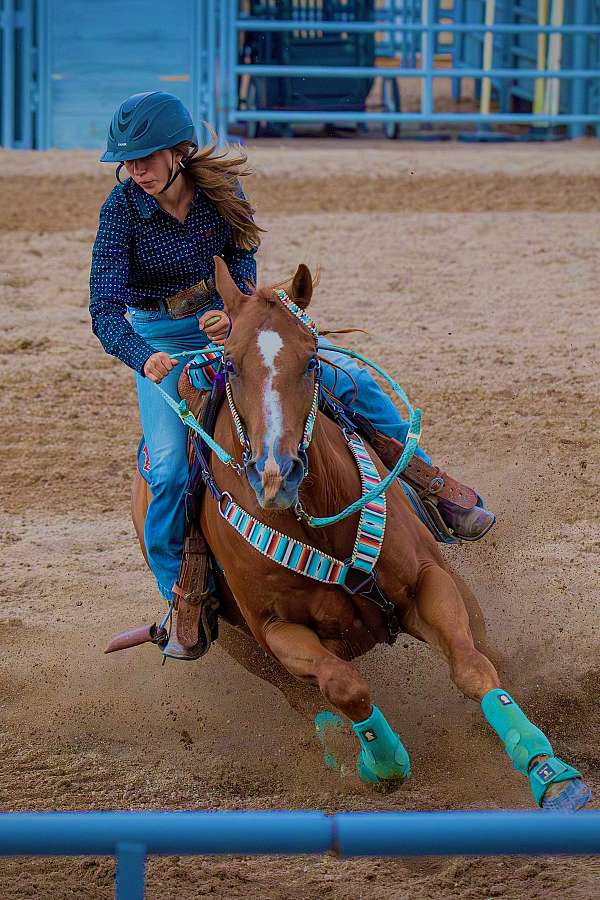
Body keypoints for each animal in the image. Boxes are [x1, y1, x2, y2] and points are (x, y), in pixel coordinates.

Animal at [131, 256, 590, 811]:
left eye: (311, 361)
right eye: (233, 365)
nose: (275, 473)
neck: (316, 522)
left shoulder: (429, 581)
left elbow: (471, 666)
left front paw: (550, 773)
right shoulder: (276, 630)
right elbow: (345, 687)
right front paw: (383, 762)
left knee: (484, 648)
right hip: (245, 651)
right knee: (309, 701)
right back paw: (335, 747)